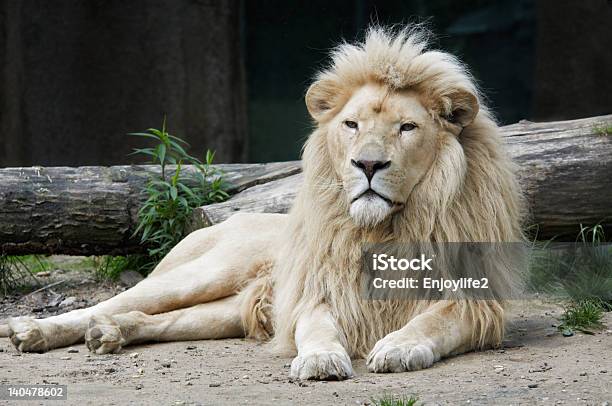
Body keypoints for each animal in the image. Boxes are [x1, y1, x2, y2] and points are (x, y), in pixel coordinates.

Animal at [2, 26, 524, 380]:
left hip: (225, 311)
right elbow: (317, 329)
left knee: (158, 319)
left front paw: (395, 348)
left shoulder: (477, 302)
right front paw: (320, 359)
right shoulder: (318, 293)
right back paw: (32, 330)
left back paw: (110, 332)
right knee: (109, 303)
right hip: (203, 273)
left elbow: (431, 322)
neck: (385, 229)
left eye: (407, 127)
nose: (368, 164)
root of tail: (221, 221)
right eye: (352, 125)